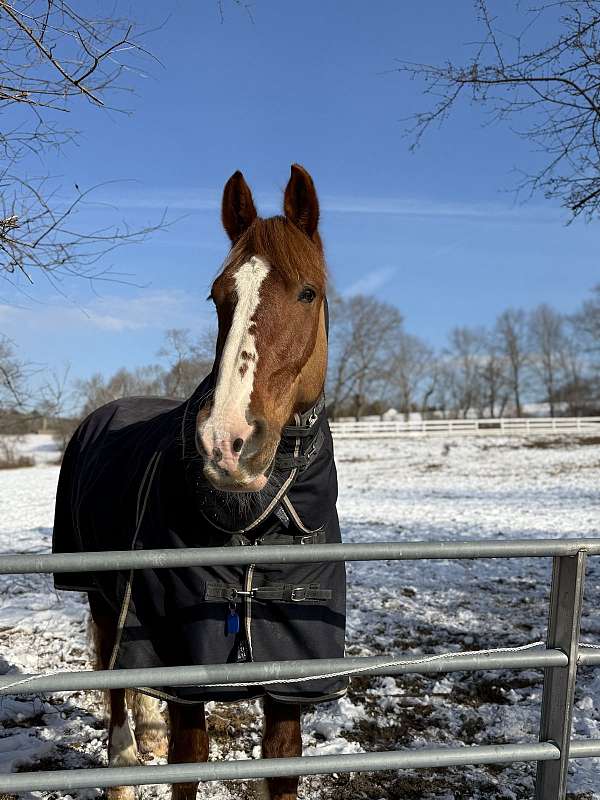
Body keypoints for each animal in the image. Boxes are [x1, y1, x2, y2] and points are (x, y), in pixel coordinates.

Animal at [54, 162, 350, 800]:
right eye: (219, 297)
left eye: (308, 293)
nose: (226, 444)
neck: (258, 525)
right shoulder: (189, 674)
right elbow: (187, 764)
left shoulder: (291, 677)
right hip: (98, 591)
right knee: (113, 678)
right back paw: (122, 766)